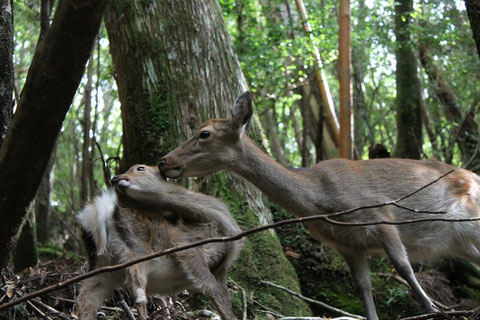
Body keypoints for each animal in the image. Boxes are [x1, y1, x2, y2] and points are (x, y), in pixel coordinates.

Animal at [159, 91, 480, 318]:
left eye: (204, 133)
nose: (163, 161)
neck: (320, 202)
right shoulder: (348, 245)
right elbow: (363, 287)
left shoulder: (380, 214)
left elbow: (403, 267)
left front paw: (434, 310)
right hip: (463, 241)